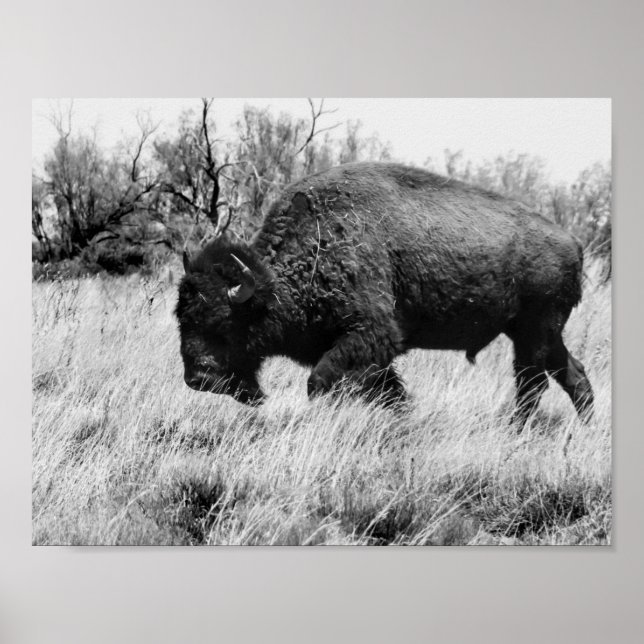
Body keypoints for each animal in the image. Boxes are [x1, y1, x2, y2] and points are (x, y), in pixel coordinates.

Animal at [176, 162, 594, 425]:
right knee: (572, 372)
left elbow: (320, 382)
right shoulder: (362, 350)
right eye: (181, 318)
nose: (199, 379)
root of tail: (573, 242)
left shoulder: (371, 336)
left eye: (225, 324)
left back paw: (517, 428)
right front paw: (405, 419)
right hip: (537, 332)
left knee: (532, 383)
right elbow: (390, 391)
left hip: (535, 331)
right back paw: (586, 427)